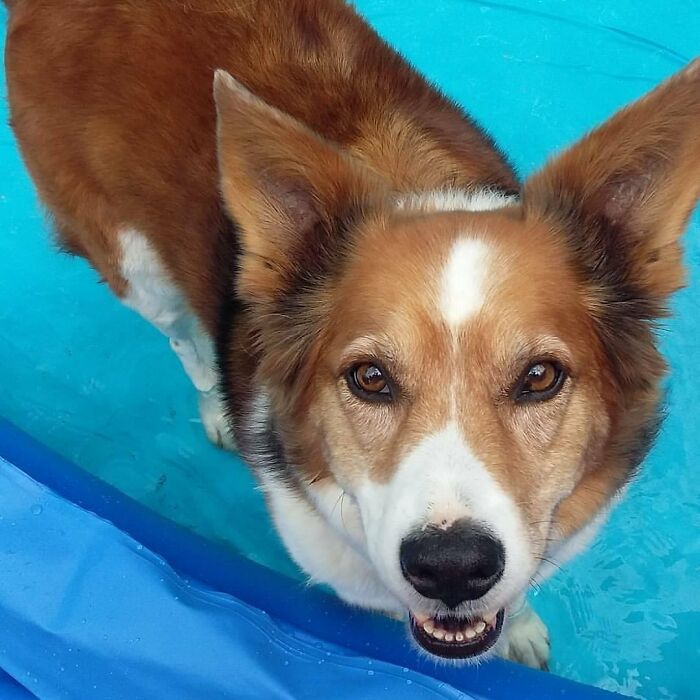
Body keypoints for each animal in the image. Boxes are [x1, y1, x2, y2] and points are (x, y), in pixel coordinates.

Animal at [5, 0, 700, 668]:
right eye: (369, 378)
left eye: (539, 377)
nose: (452, 569)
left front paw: (520, 627)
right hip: (136, 267)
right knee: (185, 343)